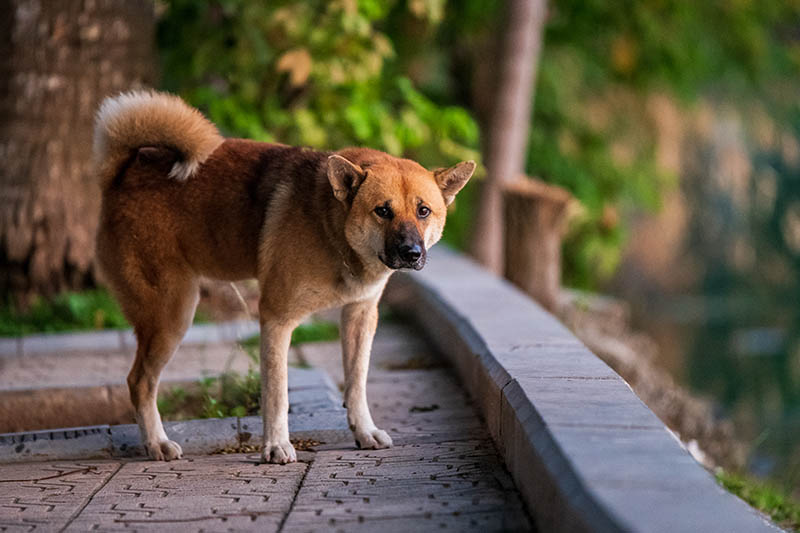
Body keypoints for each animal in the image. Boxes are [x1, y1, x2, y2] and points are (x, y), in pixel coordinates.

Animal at [92, 90, 476, 462]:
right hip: (172, 314)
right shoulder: (277, 319)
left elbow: (356, 383)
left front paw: (364, 431)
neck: (331, 230)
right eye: (383, 211)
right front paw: (276, 446)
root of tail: (124, 171)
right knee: (139, 382)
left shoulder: (360, 316)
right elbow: (277, 394)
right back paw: (156, 443)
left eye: (423, 211)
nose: (412, 254)